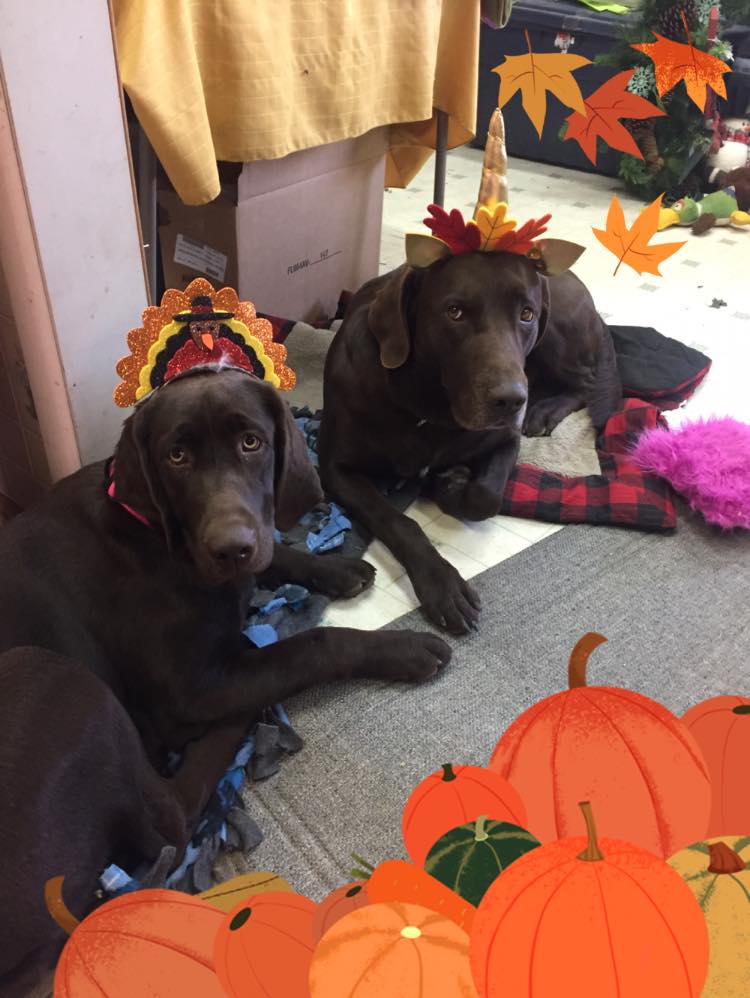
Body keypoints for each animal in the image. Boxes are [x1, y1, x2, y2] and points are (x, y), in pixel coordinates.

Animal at [0, 368, 451, 994]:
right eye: (177, 456)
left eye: (251, 443)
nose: (229, 547)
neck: (157, 537)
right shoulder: (191, 688)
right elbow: (312, 644)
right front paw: (403, 649)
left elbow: (272, 553)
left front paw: (331, 568)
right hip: (59, 677)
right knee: (171, 817)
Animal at [318, 250, 622, 635]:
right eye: (455, 312)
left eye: (526, 314)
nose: (511, 401)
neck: (428, 407)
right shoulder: (335, 468)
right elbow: (397, 520)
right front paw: (442, 585)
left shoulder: (505, 440)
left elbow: (486, 496)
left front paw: (451, 485)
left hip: (556, 337)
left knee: (586, 382)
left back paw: (545, 410)